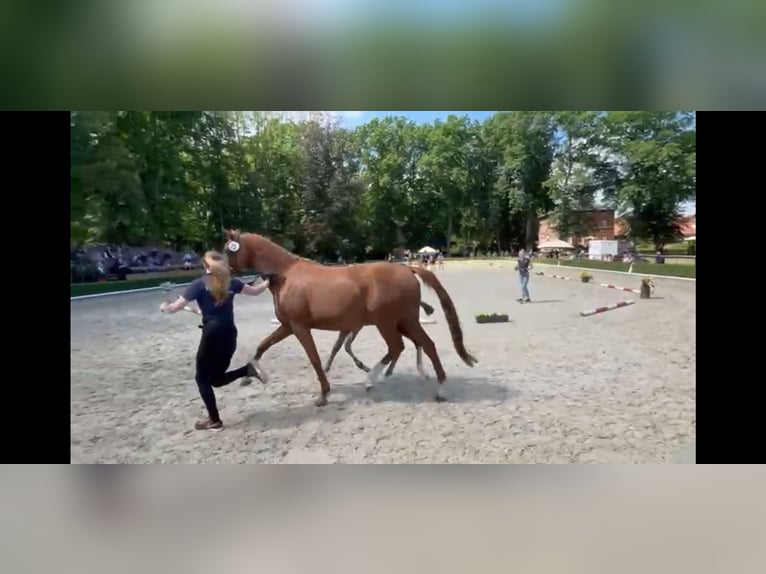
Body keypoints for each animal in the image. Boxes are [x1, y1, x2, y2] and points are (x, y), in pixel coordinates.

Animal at [222, 230, 476, 404]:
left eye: (227, 250)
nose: (223, 275)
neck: (285, 276)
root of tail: (407, 269)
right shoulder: (287, 326)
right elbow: (263, 345)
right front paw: (249, 376)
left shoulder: (300, 327)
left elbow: (314, 359)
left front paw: (323, 395)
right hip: (404, 322)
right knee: (422, 345)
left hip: (387, 323)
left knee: (401, 346)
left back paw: (377, 380)